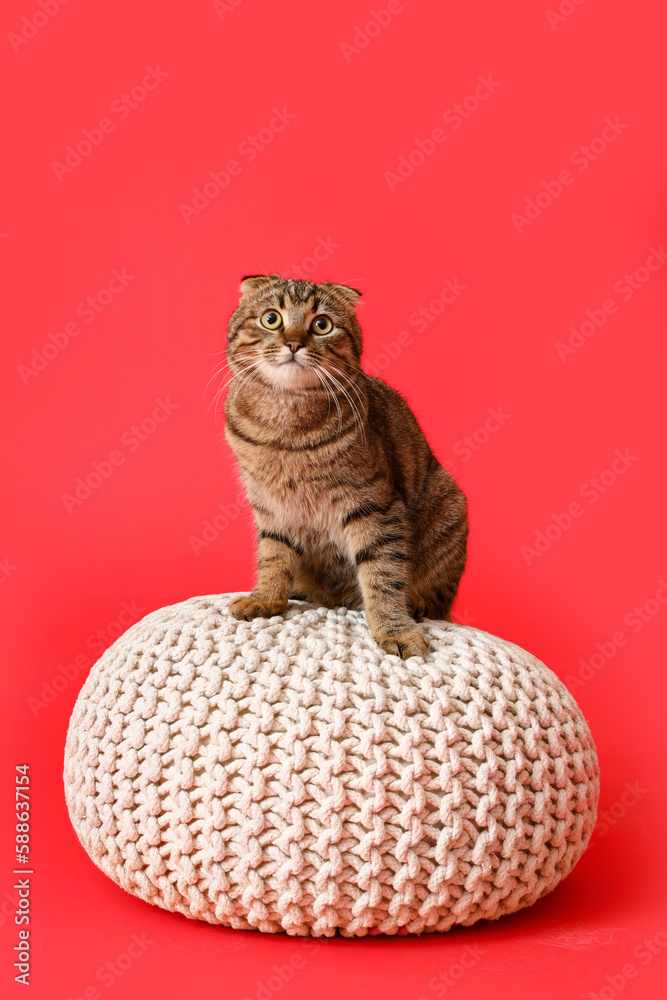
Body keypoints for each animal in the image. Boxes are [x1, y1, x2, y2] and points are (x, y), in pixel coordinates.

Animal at [222, 272, 468, 656]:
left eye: (321, 325)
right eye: (271, 318)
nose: (293, 343)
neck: (286, 427)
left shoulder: (374, 507)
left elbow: (383, 574)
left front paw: (395, 629)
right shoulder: (272, 507)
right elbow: (273, 556)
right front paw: (266, 598)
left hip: (449, 504)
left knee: (437, 600)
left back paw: (418, 604)